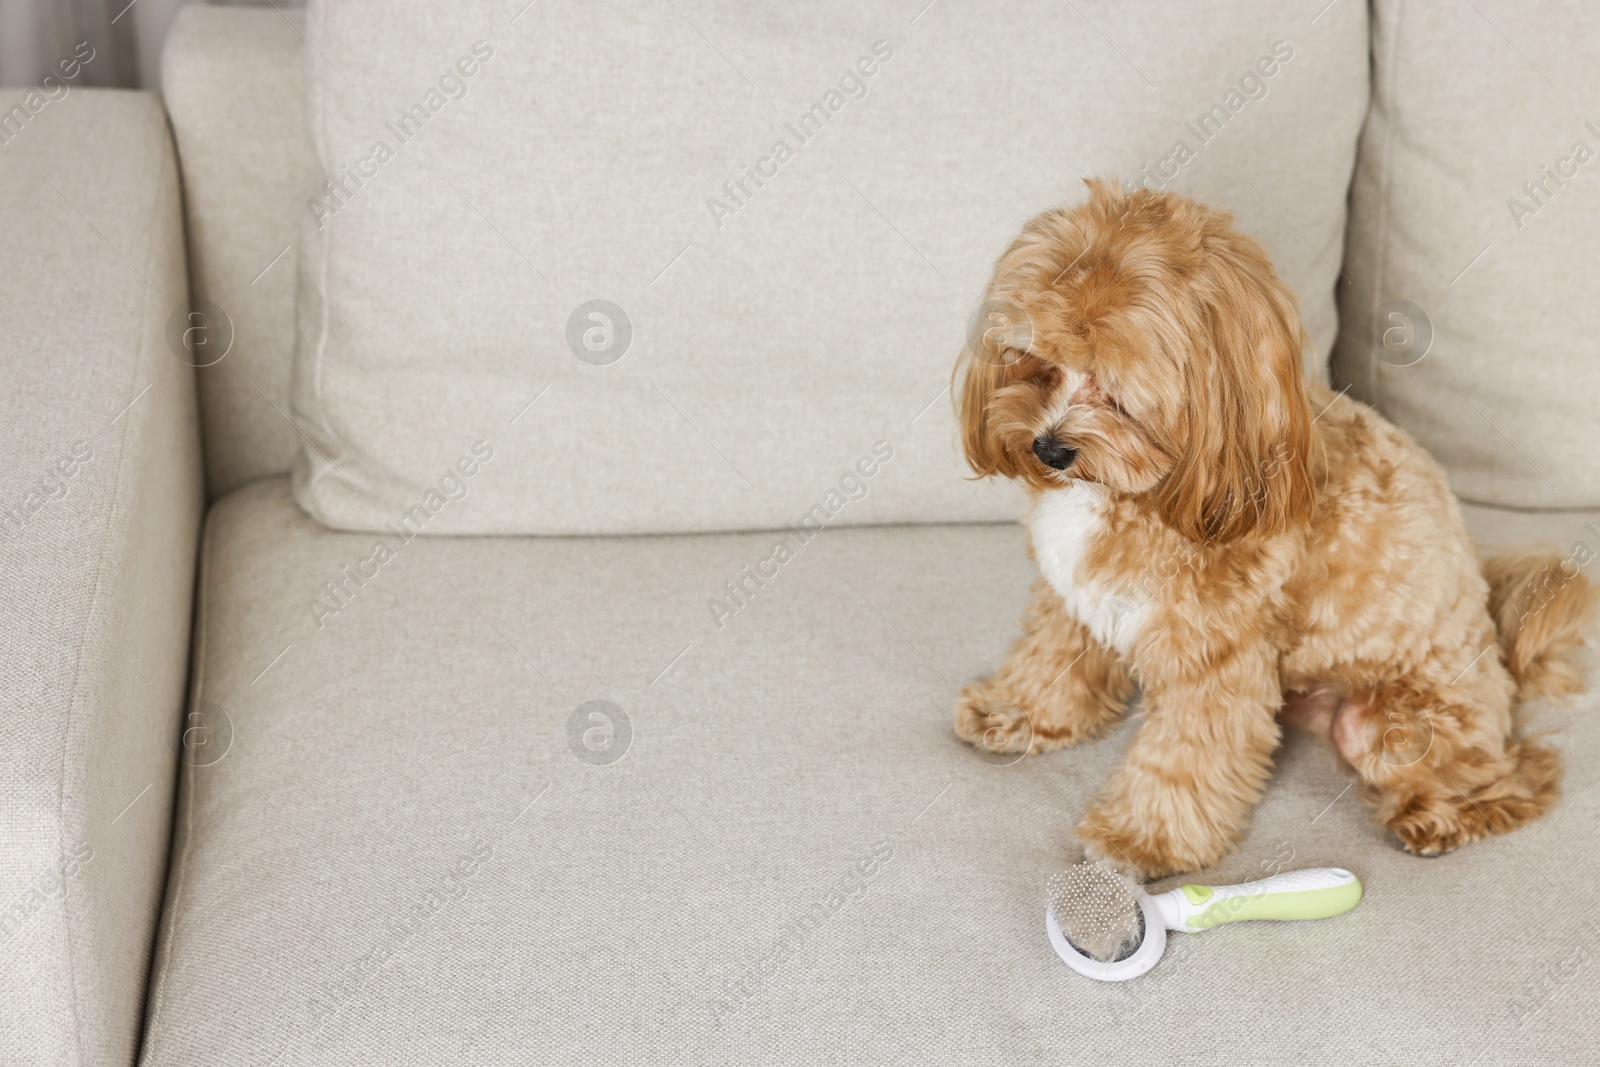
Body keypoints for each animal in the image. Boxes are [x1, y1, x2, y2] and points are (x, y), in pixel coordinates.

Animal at [953, 179, 1593, 883]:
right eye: (1036, 361)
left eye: (1119, 390)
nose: (1048, 449)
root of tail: (1498, 646)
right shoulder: (1075, 597)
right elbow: (1053, 658)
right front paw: (1020, 712)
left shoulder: (1214, 660)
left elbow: (1184, 760)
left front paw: (1139, 840)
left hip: (1400, 723)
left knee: (1515, 776)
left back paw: (1442, 817)